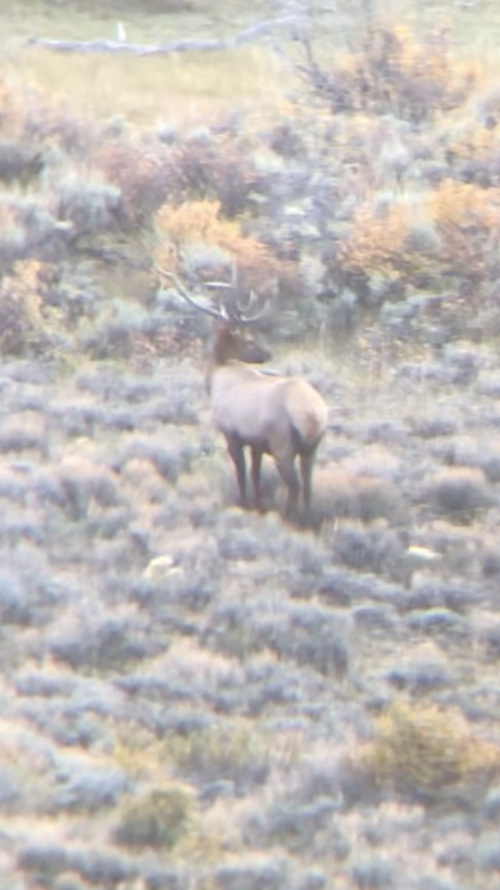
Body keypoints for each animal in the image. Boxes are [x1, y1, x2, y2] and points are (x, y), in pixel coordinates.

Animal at [163, 271, 328, 522]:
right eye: (250, 339)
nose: (268, 353)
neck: (217, 376)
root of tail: (313, 417)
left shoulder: (231, 434)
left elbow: (241, 473)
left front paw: (243, 503)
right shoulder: (256, 442)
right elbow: (255, 474)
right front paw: (258, 505)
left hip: (282, 445)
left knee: (295, 485)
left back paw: (288, 518)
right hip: (312, 449)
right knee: (309, 486)